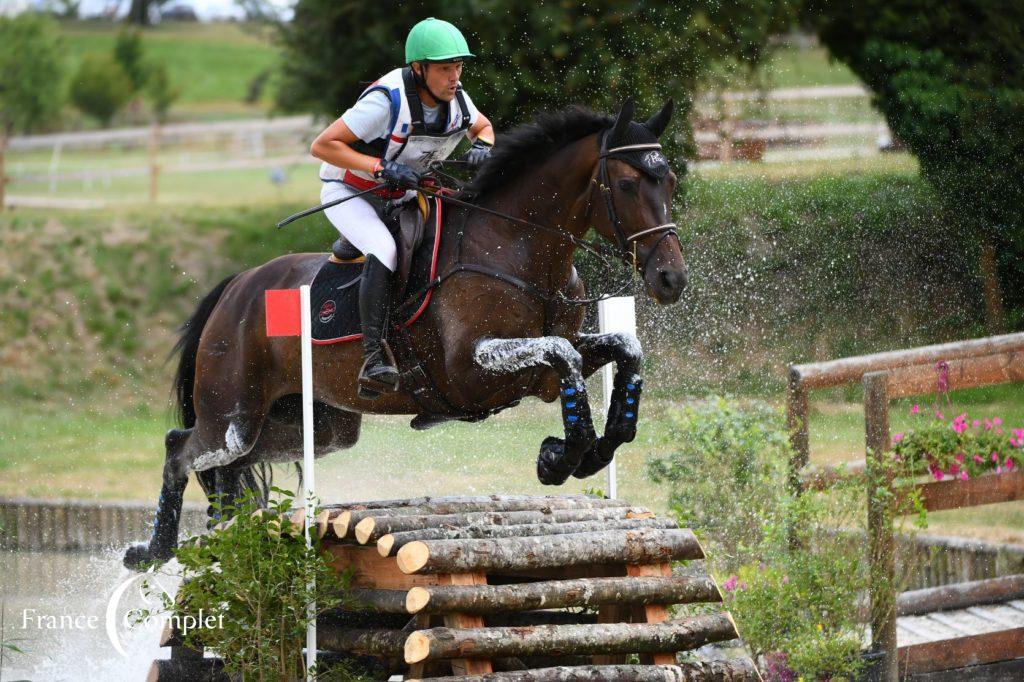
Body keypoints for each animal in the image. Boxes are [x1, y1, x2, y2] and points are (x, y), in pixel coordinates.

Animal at [125, 98, 688, 565]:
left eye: (671, 184)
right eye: (627, 184)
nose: (671, 279)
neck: (516, 246)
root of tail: (235, 288)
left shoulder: (544, 364)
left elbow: (623, 349)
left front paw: (596, 446)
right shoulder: (470, 369)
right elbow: (563, 357)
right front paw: (560, 456)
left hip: (317, 427)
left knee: (230, 464)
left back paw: (220, 526)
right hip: (234, 414)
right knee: (182, 448)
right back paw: (151, 550)